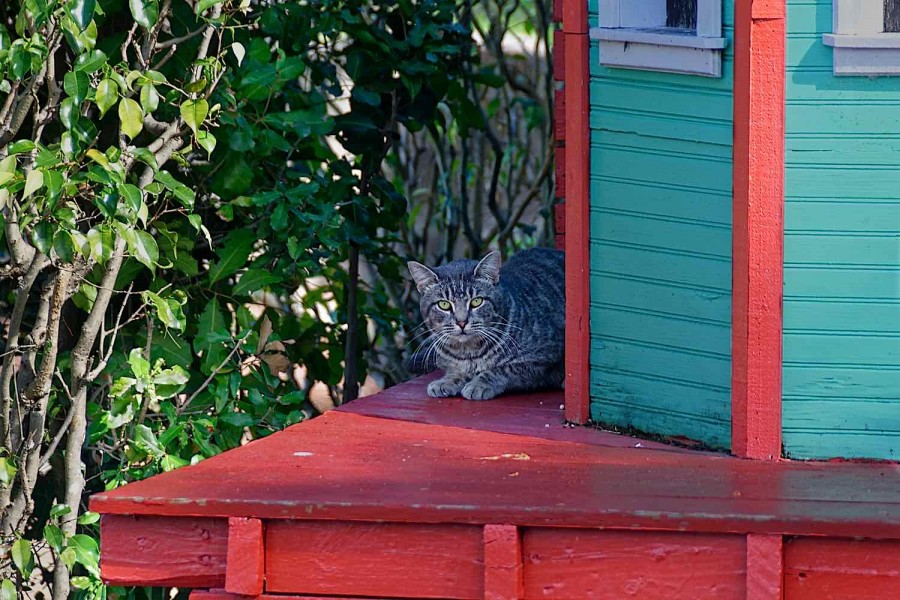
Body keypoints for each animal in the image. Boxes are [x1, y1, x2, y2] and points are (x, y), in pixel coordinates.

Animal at [406, 246, 564, 400]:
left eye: (476, 301)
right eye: (444, 304)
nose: (462, 322)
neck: (468, 352)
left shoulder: (541, 360)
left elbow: (502, 369)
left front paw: (478, 384)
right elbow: (456, 371)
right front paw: (449, 380)